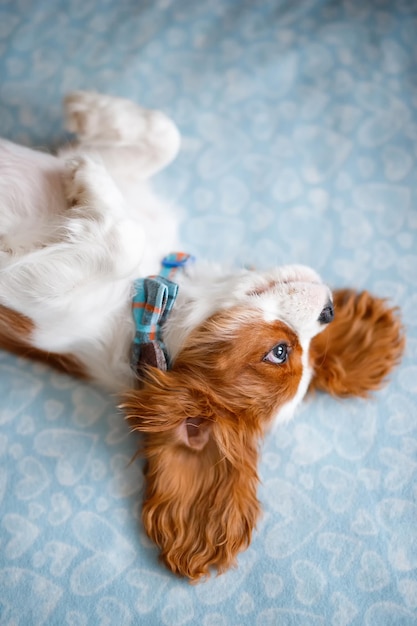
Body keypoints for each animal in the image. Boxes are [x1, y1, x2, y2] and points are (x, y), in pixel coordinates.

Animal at [0, 92, 404, 580]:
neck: (148, 292)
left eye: (281, 351)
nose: (329, 309)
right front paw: (90, 113)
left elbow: (123, 238)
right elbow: (165, 136)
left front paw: (88, 177)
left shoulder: (41, 302)